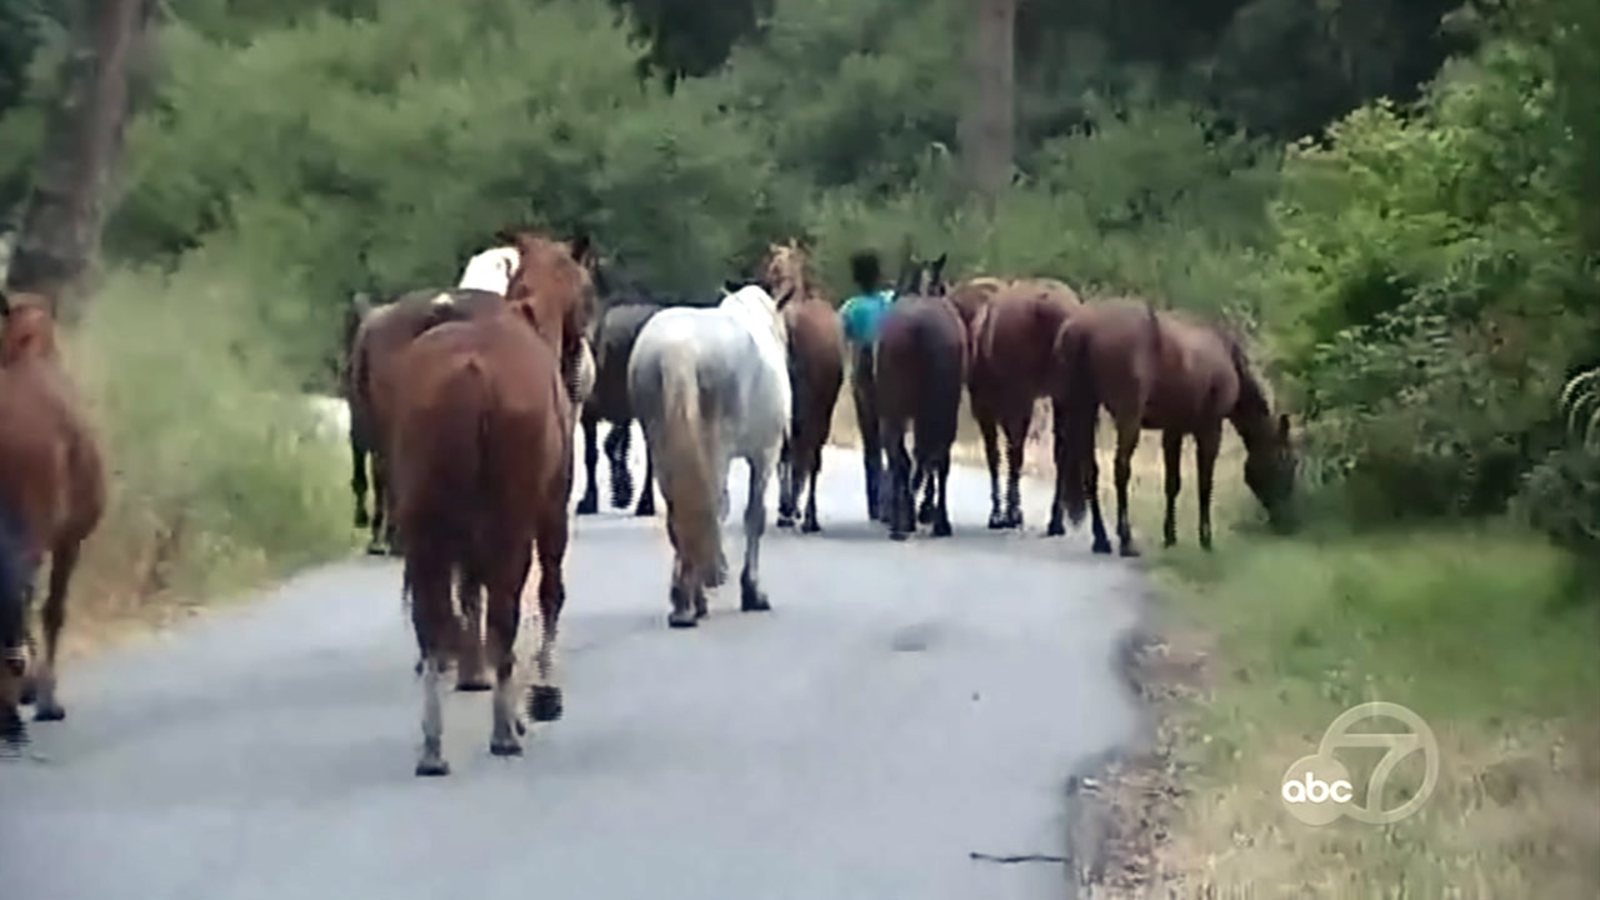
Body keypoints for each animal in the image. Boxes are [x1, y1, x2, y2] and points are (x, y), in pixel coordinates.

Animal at [627, 284, 790, 628]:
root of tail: (678, 350)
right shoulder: (765, 454)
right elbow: (753, 517)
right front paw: (753, 593)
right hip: (717, 448)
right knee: (712, 506)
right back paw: (693, 601)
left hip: (661, 444)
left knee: (681, 511)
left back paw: (684, 604)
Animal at [875, 253, 967, 541]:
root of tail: (920, 327)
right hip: (943, 408)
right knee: (937, 457)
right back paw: (937, 522)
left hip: (898, 410)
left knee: (904, 457)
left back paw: (902, 522)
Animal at [967, 278, 1082, 529]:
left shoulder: (987, 407)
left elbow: (997, 455)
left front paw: (1001, 513)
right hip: (1061, 398)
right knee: (1062, 452)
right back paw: (1055, 520)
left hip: (1022, 400)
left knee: (1016, 451)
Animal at [1051, 300, 1298, 555]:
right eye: (1289, 462)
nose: (1287, 521)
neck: (1227, 357)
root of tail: (1082, 328)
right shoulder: (1210, 429)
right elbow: (1204, 483)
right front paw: (1205, 539)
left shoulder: (1173, 430)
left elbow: (1172, 483)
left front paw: (1170, 536)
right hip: (1127, 416)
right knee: (1121, 469)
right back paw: (1126, 540)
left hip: (1083, 408)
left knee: (1089, 469)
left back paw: (1101, 539)